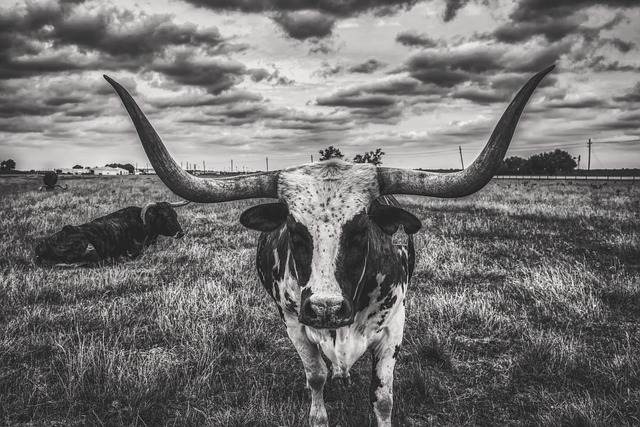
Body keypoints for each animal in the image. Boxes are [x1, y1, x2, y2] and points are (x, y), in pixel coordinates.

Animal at [36, 201, 189, 268]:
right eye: (165, 216)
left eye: (175, 215)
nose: (180, 233)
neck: (141, 223)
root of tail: (41, 246)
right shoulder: (134, 251)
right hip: (86, 245)